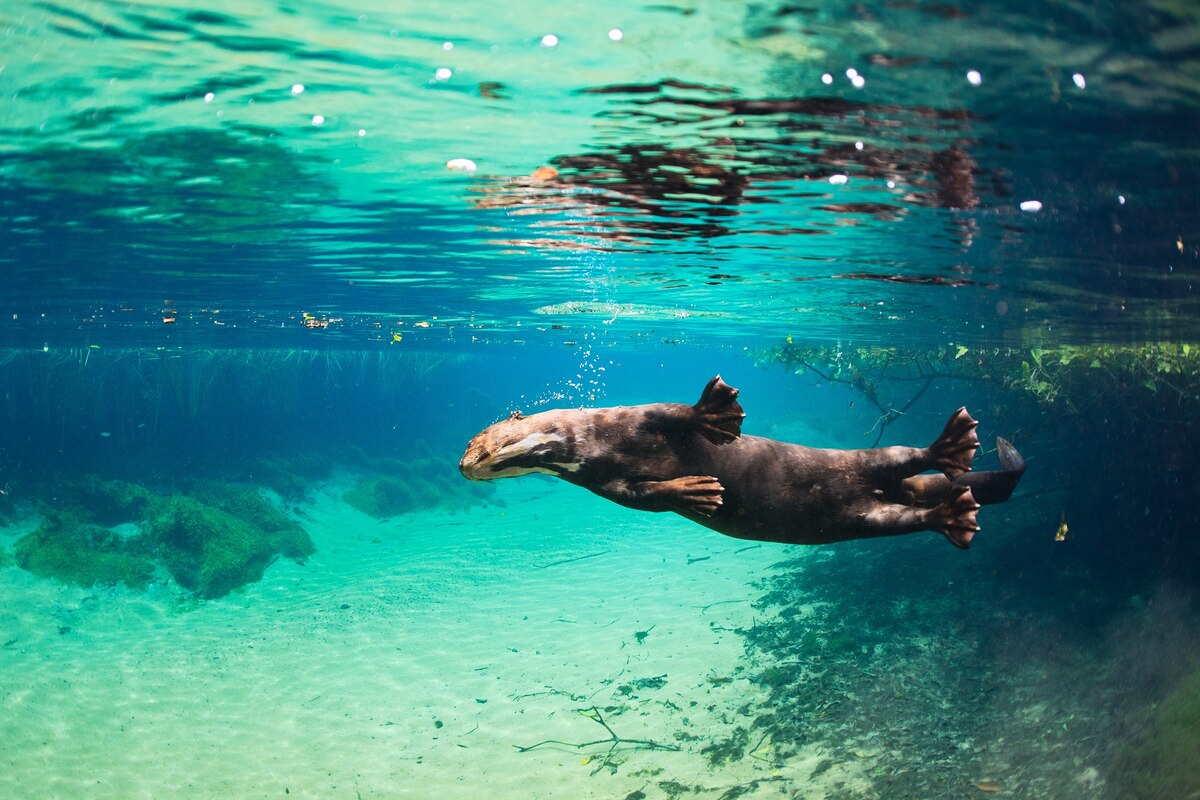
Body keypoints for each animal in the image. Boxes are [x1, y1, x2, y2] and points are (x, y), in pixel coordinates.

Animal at [459, 376, 1025, 548]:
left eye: (477, 441)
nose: (464, 466)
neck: (596, 442)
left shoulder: (637, 415)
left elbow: (676, 412)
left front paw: (714, 412)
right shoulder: (607, 484)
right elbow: (643, 497)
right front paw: (698, 492)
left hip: (869, 460)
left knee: (903, 455)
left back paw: (951, 445)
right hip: (864, 517)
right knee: (907, 517)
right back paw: (955, 514)